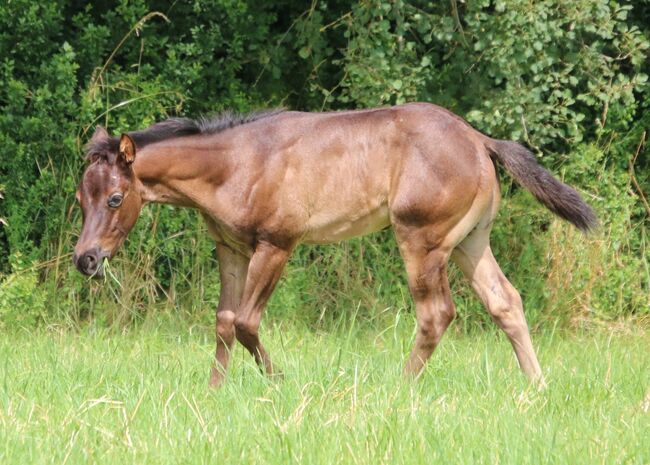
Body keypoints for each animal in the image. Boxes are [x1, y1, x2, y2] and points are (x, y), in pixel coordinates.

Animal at [73, 103, 596, 386]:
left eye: (116, 198)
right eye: (81, 197)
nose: (86, 259)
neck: (236, 164)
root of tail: (478, 139)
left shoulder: (276, 244)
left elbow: (245, 323)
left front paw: (280, 384)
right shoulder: (231, 248)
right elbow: (223, 321)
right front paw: (214, 390)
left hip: (421, 240)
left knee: (437, 314)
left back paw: (399, 388)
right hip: (470, 240)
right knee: (505, 301)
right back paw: (537, 386)